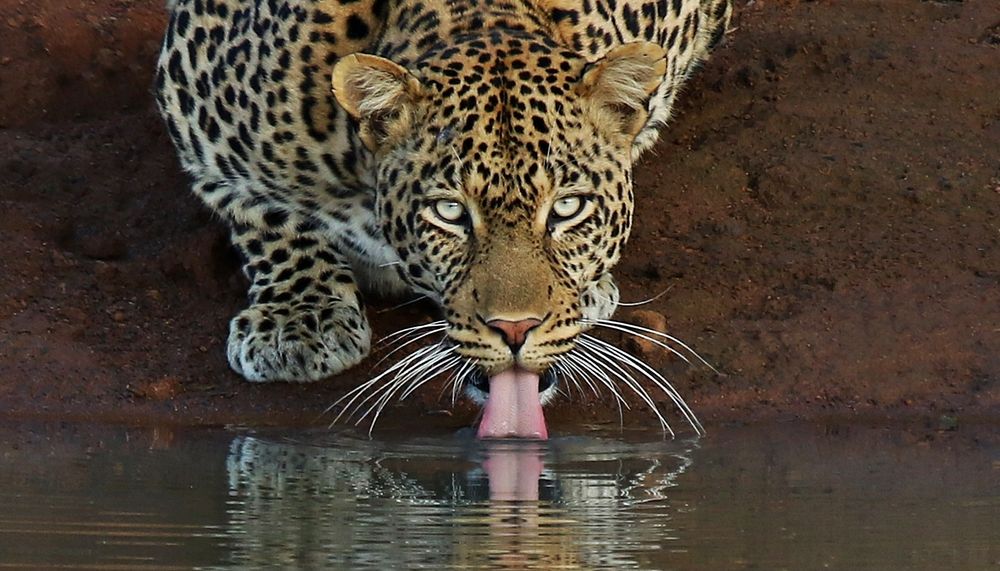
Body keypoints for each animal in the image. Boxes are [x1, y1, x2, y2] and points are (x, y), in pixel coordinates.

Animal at [154, 0, 732, 437]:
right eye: (450, 212)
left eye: (568, 207)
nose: (516, 329)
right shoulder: (193, 109)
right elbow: (263, 211)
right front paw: (298, 319)